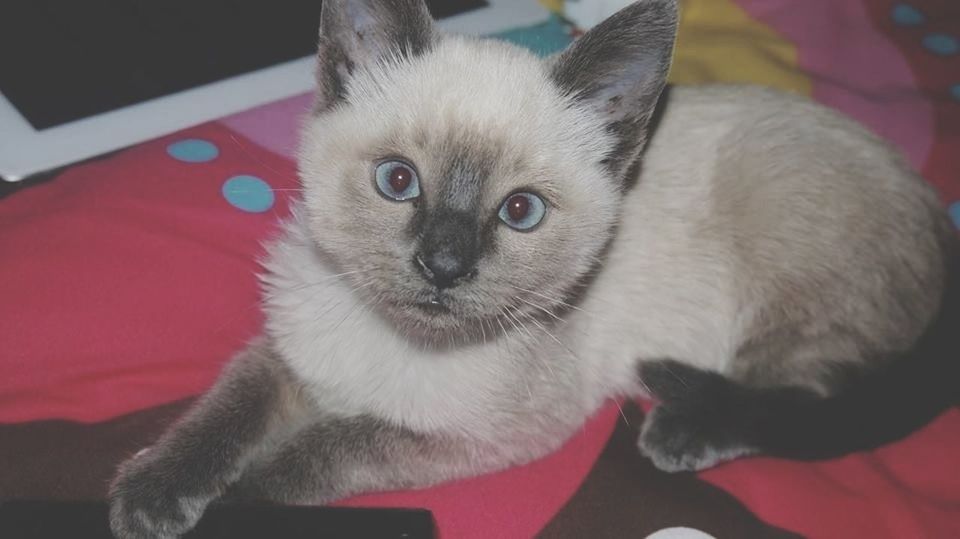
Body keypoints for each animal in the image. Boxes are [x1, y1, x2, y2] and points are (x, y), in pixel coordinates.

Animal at [107, 0, 960, 536]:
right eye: (397, 180)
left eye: (520, 212)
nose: (443, 264)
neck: (393, 340)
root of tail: (934, 208)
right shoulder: (288, 353)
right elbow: (222, 412)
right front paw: (153, 493)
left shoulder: (482, 437)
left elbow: (329, 445)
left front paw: (238, 502)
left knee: (810, 402)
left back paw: (681, 428)